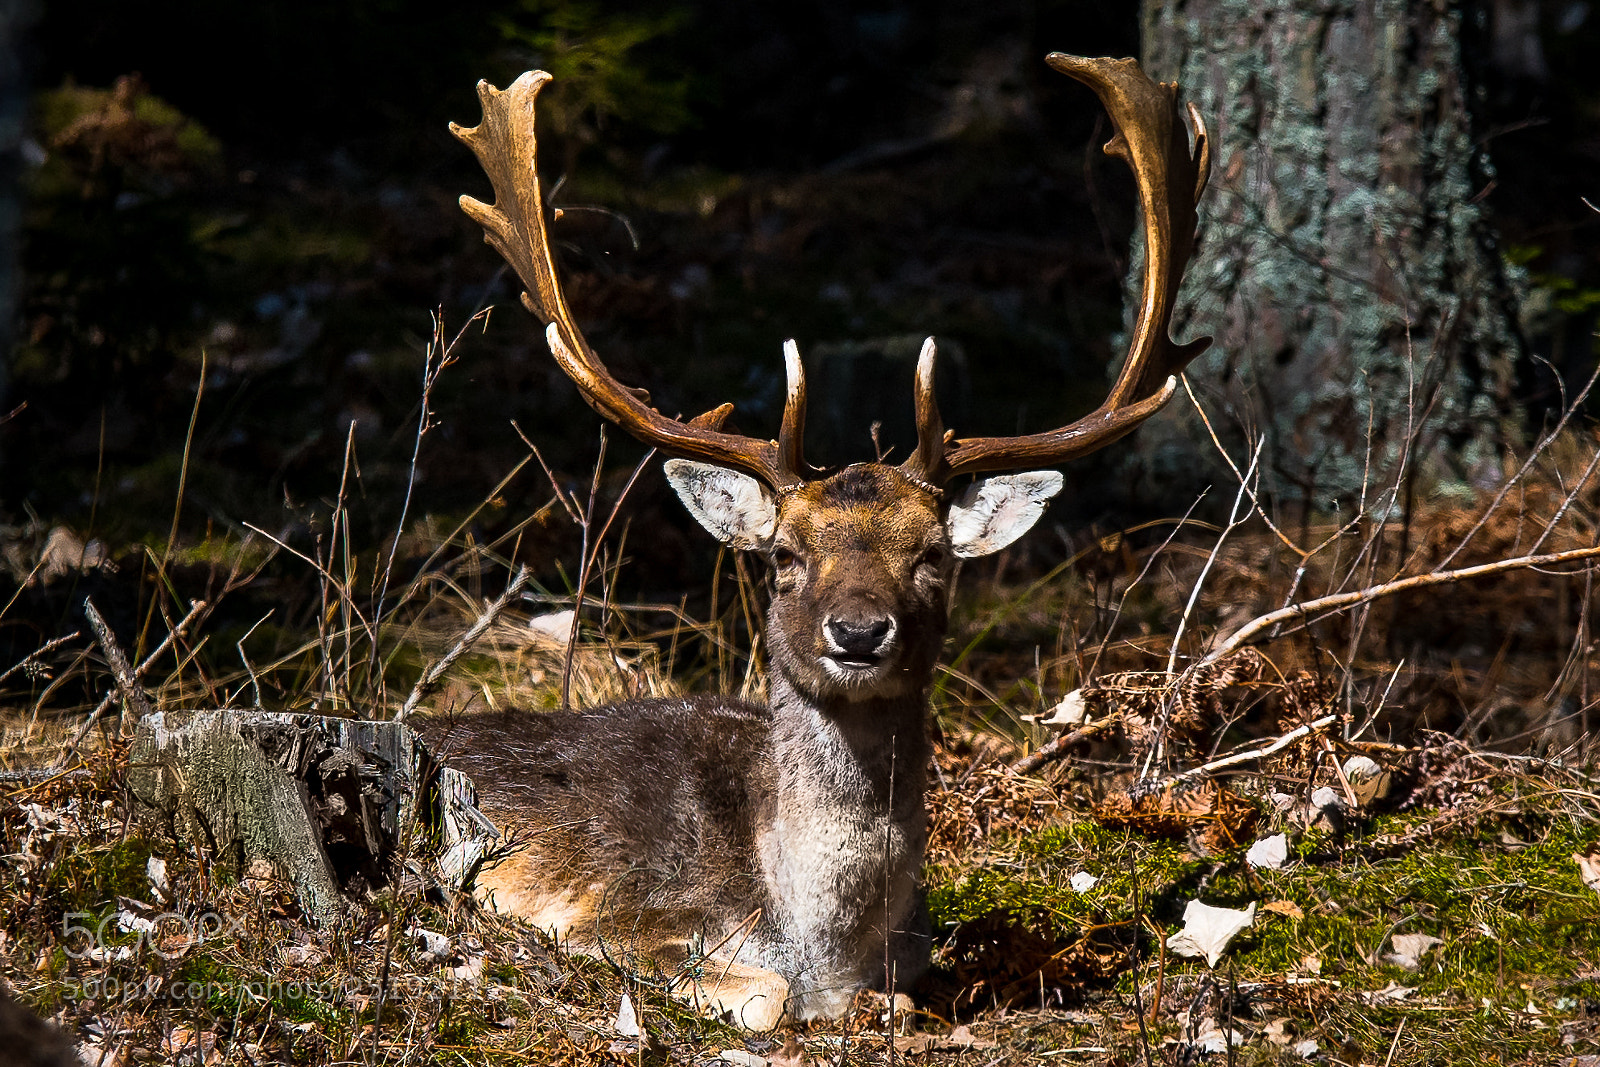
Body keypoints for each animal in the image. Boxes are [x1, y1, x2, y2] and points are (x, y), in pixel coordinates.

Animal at [438, 53, 1210, 1030]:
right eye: (783, 555)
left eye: (933, 555)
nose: (858, 631)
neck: (825, 944)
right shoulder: (608, 912)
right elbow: (765, 995)